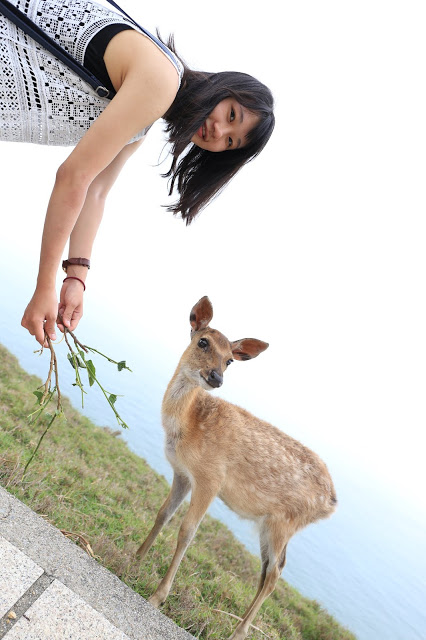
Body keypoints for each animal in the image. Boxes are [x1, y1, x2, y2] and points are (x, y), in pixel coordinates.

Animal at [137, 296, 337, 640]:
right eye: (202, 341)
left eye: (230, 360)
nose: (216, 377)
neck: (188, 424)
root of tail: (331, 504)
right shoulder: (182, 473)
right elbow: (163, 514)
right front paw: (135, 560)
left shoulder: (210, 478)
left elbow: (187, 531)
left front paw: (157, 596)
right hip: (272, 524)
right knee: (267, 568)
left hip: (285, 522)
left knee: (275, 573)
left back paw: (238, 633)